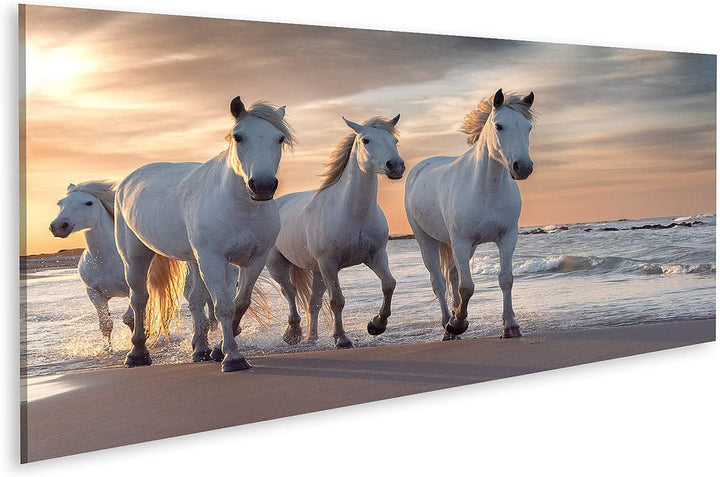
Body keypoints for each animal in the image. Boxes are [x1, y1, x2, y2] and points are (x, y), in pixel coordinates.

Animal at [49, 180, 215, 347]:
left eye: (88, 203)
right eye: (60, 203)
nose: (58, 226)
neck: (104, 260)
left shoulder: (132, 288)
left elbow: (130, 319)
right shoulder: (94, 293)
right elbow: (106, 324)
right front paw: (107, 349)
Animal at [114, 96, 294, 372]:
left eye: (280, 138)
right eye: (238, 137)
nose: (262, 186)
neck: (239, 207)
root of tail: (127, 182)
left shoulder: (254, 260)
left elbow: (240, 303)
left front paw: (220, 349)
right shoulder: (213, 260)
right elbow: (223, 307)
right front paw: (233, 358)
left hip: (194, 260)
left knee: (196, 300)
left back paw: (200, 349)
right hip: (135, 256)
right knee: (139, 298)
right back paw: (138, 353)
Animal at [266, 114, 405, 348]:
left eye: (394, 141)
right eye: (366, 140)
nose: (395, 166)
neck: (352, 213)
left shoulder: (376, 256)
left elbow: (389, 284)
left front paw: (376, 325)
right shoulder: (329, 264)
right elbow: (337, 301)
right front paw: (341, 339)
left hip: (316, 271)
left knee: (313, 302)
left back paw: (312, 338)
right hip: (278, 264)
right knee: (290, 292)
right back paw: (292, 333)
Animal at [404, 89, 535, 340]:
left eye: (528, 128)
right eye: (499, 126)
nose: (522, 167)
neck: (487, 189)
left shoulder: (507, 238)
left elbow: (505, 279)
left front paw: (511, 326)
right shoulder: (462, 242)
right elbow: (467, 287)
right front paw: (457, 323)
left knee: (453, 275)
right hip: (427, 240)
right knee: (439, 282)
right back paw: (448, 325)